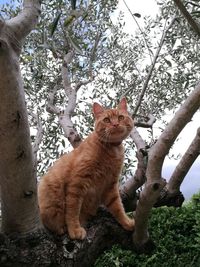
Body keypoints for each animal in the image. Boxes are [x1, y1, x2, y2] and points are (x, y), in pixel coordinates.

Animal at [38, 98, 134, 241]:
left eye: (120, 117)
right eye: (107, 120)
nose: (115, 124)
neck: (112, 149)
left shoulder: (110, 185)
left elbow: (118, 207)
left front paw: (126, 222)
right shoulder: (77, 183)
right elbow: (72, 209)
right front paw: (74, 229)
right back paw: (62, 228)